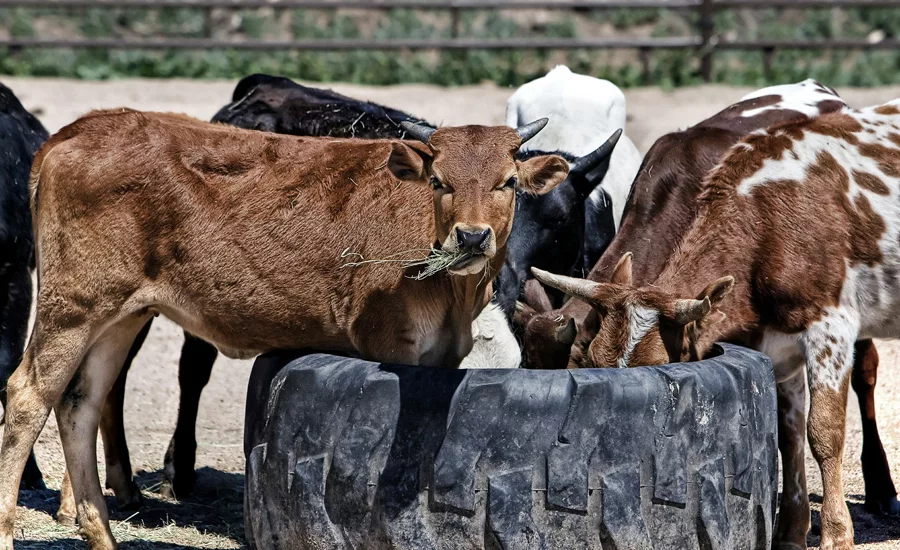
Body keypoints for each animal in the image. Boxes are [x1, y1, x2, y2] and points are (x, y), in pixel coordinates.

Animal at [0, 109, 568, 549]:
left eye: (508, 182)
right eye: (438, 181)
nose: (471, 237)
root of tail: (81, 129)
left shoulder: (443, 355)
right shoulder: (391, 345)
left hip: (121, 315)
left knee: (81, 403)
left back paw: (102, 534)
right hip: (73, 306)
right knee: (27, 395)